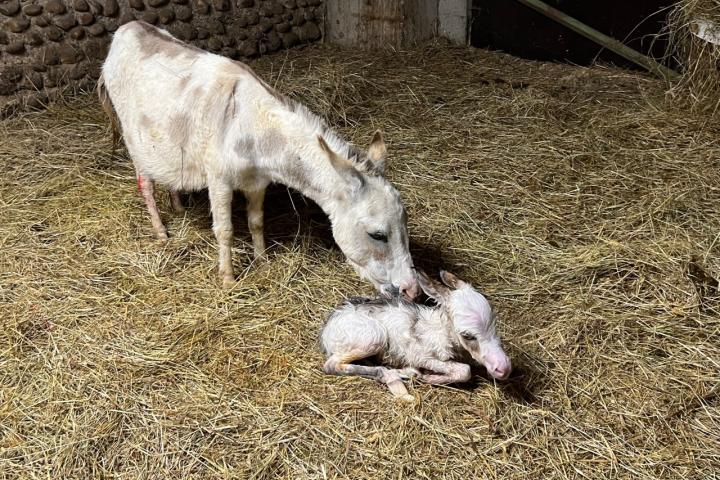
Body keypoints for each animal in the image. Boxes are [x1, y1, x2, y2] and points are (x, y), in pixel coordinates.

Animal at [320, 270, 512, 402]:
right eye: (468, 336)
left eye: (495, 323)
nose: (503, 368)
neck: (440, 331)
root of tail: (326, 331)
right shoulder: (420, 356)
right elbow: (465, 370)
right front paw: (430, 378)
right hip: (374, 337)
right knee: (331, 365)